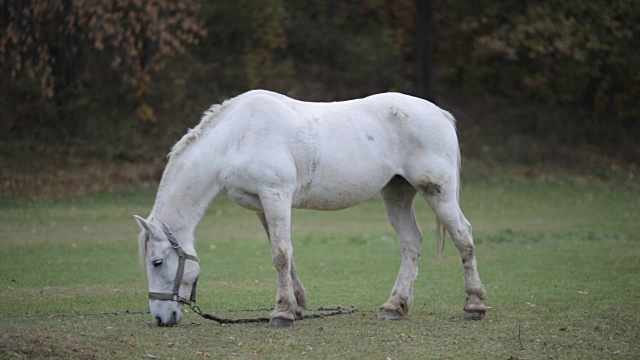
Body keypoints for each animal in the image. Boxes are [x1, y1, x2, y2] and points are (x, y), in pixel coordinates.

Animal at [134, 89, 484, 326]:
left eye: (156, 262)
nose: (161, 318)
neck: (236, 137)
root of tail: (439, 113)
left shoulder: (275, 195)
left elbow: (280, 255)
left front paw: (282, 314)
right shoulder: (263, 205)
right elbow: (286, 255)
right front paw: (297, 305)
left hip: (437, 191)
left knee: (463, 236)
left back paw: (474, 305)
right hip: (396, 192)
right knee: (411, 243)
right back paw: (393, 307)